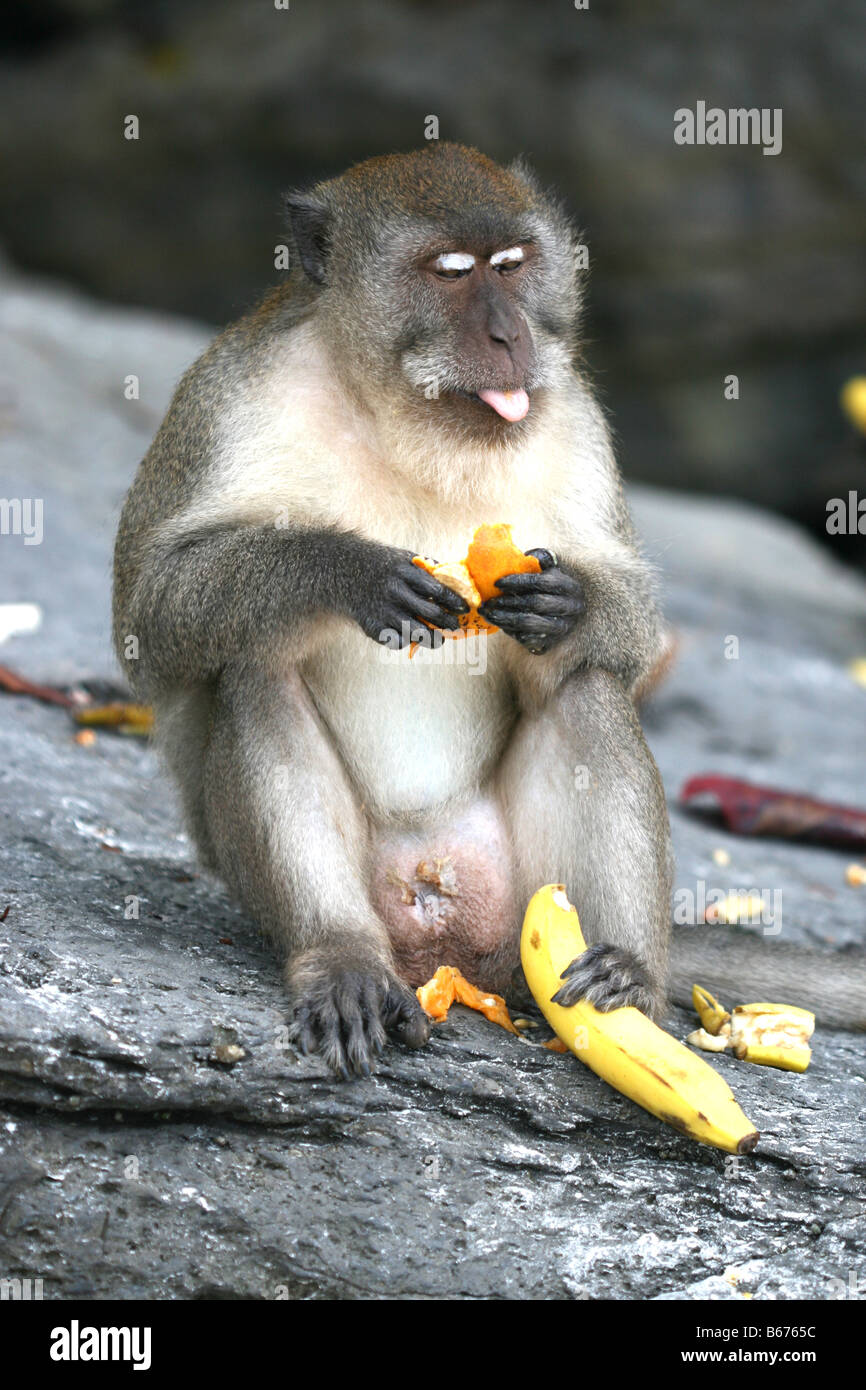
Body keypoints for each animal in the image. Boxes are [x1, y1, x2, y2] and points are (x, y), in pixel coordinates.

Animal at [113, 143, 865, 1077]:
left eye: (511, 264)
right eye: (450, 272)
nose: (511, 335)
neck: (408, 420)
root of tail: (445, 936)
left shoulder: (574, 415)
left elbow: (629, 629)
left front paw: (569, 605)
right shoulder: (230, 396)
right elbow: (153, 611)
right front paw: (352, 572)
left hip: (524, 896)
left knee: (584, 689)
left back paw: (631, 972)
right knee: (255, 667)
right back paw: (341, 958)